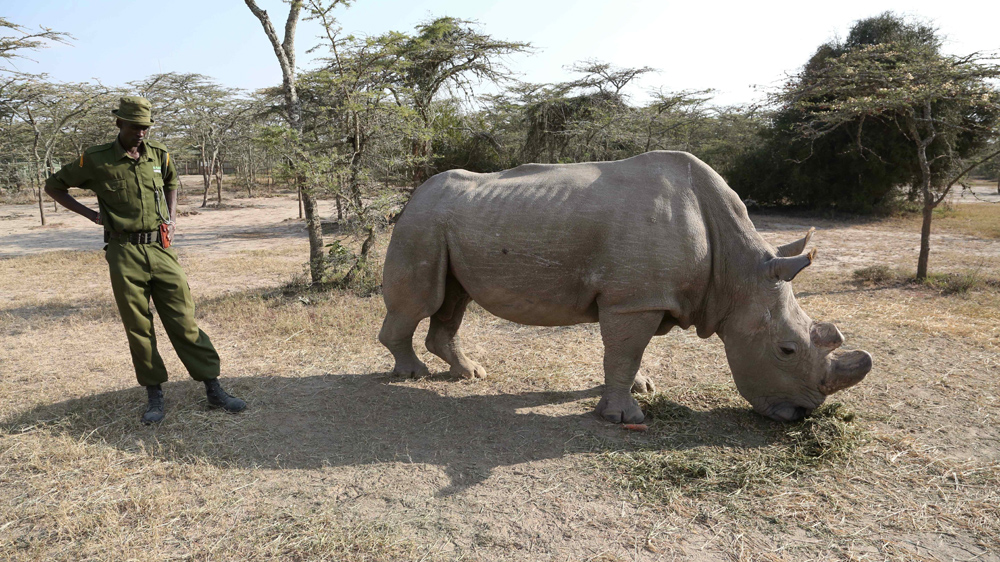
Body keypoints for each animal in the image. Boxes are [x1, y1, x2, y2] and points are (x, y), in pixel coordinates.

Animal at [379, 151, 872, 423]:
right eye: (786, 350)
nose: (802, 415)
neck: (738, 270)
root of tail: (413, 195)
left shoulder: (647, 296)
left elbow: (631, 353)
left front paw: (642, 388)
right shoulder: (634, 300)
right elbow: (624, 351)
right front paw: (624, 417)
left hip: (450, 221)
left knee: (453, 301)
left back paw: (470, 373)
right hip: (422, 221)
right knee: (423, 300)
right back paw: (411, 375)